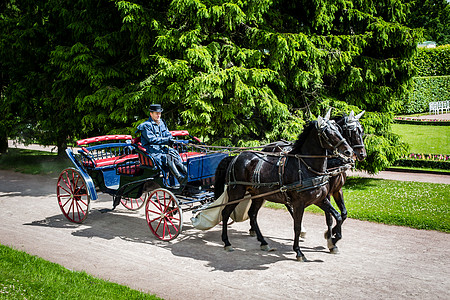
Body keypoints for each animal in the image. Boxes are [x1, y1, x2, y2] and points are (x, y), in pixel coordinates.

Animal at [214, 114, 356, 260]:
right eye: (327, 132)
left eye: (339, 129)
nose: (349, 151)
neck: (306, 166)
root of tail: (235, 157)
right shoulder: (299, 203)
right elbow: (297, 226)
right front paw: (299, 251)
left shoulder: (320, 199)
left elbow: (338, 216)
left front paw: (333, 239)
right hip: (236, 192)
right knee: (225, 213)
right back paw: (226, 242)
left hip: (258, 195)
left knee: (252, 214)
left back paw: (263, 242)